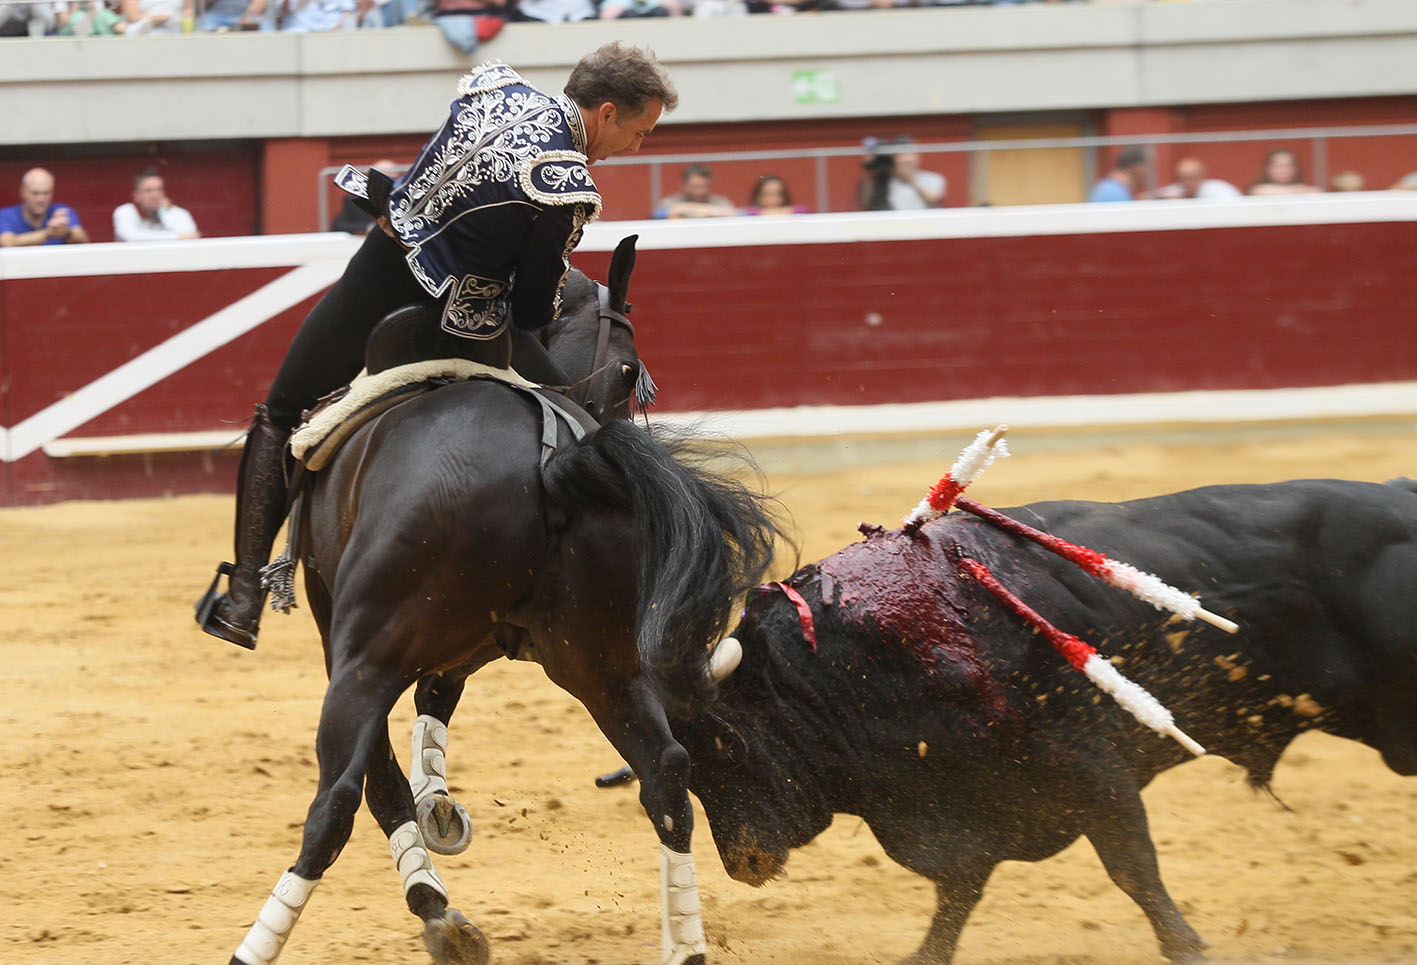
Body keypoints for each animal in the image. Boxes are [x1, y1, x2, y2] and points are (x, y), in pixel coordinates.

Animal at [226, 238, 781, 965]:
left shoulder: (342, 641)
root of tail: (552, 460)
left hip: (366, 663)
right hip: (599, 663)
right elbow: (437, 697)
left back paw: (265, 943)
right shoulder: (484, 639)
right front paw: (440, 808)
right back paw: (684, 943)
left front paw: (436, 898)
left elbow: (383, 774)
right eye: (627, 374)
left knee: (338, 799)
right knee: (665, 771)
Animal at [673, 477, 1417, 964]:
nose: (741, 863)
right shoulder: (969, 800)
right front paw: (924, 954)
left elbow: (1134, 872)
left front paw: (1187, 946)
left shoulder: (1095, 774)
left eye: (727, 747)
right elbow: (958, 893)